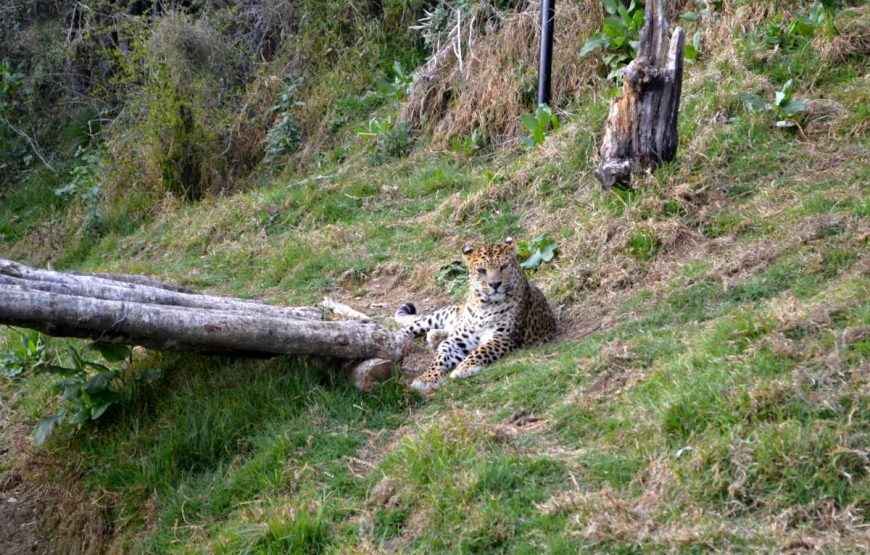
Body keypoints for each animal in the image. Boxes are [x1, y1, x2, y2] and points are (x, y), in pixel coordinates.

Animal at [396, 239, 560, 396]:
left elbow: (480, 351)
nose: (495, 284)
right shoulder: (457, 340)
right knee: (412, 327)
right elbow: (439, 357)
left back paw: (434, 336)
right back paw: (399, 341)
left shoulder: (502, 338)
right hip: (439, 315)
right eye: (482, 270)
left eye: (504, 266)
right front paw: (426, 378)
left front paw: (464, 368)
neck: (485, 306)